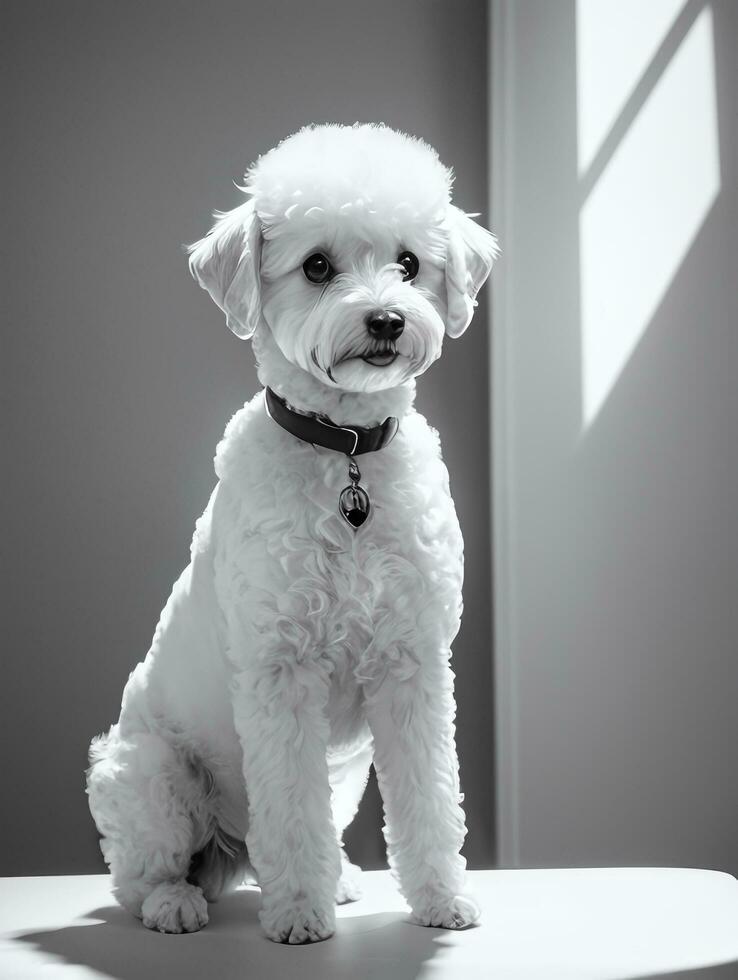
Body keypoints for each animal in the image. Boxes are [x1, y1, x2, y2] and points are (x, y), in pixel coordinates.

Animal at [87, 122, 494, 940]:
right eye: (317, 266)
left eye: (409, 263)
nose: (386, 319)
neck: (344, 453)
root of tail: (230, 851)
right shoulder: (281, 673)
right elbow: (291, 812)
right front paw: (301, 915)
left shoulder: (412, 665)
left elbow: (431, 798)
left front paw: (440, 900)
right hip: (145, 773)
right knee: (142, 877)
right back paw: (179, 902)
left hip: (343, 769)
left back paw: (337, 881)